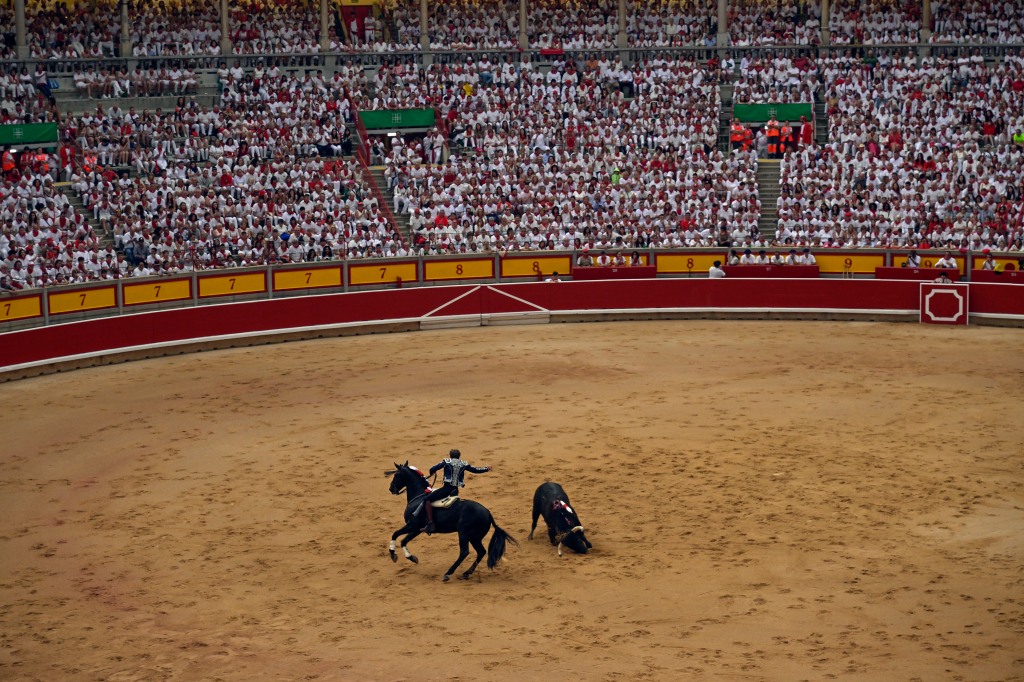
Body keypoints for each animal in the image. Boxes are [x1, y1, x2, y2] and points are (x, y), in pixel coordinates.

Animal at [385, 462, 516, 577]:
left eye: (396, 475)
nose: (391, 489)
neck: (419, 496)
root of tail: (488, 513)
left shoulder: (412, 525)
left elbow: (395, 534)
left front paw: (393, 554)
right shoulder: (417, 529)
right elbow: (404, 541)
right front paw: (412, 558)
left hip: (464, 534)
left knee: (464, 552)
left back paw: (448, 573)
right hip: (475, 537)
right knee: (481, 552)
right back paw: (466, 573)